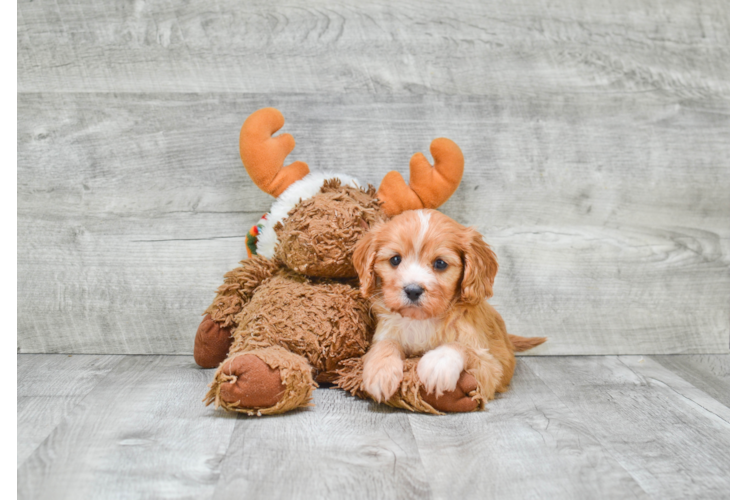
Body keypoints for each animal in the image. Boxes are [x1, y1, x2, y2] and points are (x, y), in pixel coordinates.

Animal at [354, 209, 548, 404]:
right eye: (395, 259)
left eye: (440, 263)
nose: (413, 290)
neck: (422, 320)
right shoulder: (386, 333)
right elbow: (386, 343)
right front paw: (381, 371)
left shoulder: (491, 367)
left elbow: (463, 347)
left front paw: (438, 363)